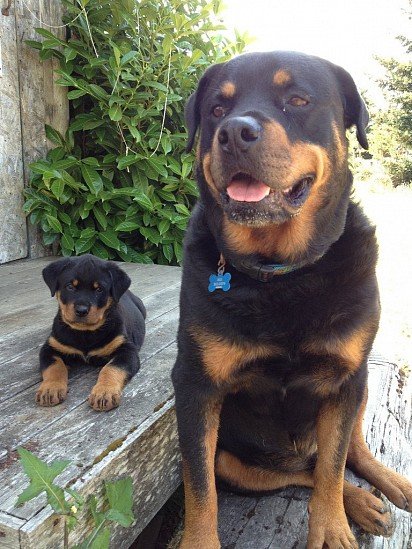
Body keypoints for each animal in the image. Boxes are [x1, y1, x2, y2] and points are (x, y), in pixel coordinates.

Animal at [36, 255, 146, 408]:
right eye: (70, 286)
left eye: (99, 289)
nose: (81, 310)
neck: (85, 334)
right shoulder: (50, 347)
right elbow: (54, 367)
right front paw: (50, 389)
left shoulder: (126, 350)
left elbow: (111, 368)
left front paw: (104, 392)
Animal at [171, 50, 412, 544]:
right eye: (217, 109)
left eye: (298, 100)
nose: (233, 132)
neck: (281, 274)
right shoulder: (195, 388)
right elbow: (200, 487)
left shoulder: (345, 378)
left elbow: (333, 466)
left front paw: (332, 528)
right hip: (236, 460)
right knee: (300, 470)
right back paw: (360, 501)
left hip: (359, 387)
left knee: (346, 451)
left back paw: (387, 484)